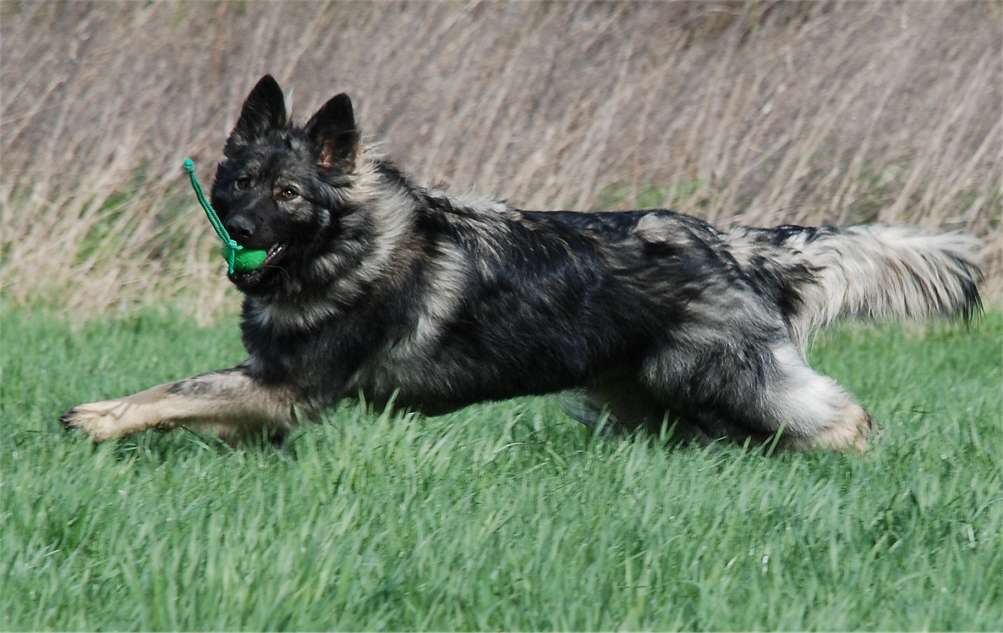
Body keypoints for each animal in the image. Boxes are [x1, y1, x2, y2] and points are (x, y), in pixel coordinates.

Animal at [61, 75, 983, 451]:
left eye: (290, 193)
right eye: (238, 181)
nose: (239, 226)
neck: (349, 244)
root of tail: (733, 242)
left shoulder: (288, 385)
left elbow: (176, 389)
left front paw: (99, 418)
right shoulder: (272, 392)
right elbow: (194, 400)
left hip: (723, 378)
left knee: (840, 417)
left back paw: (862, 459)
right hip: (646, 397)